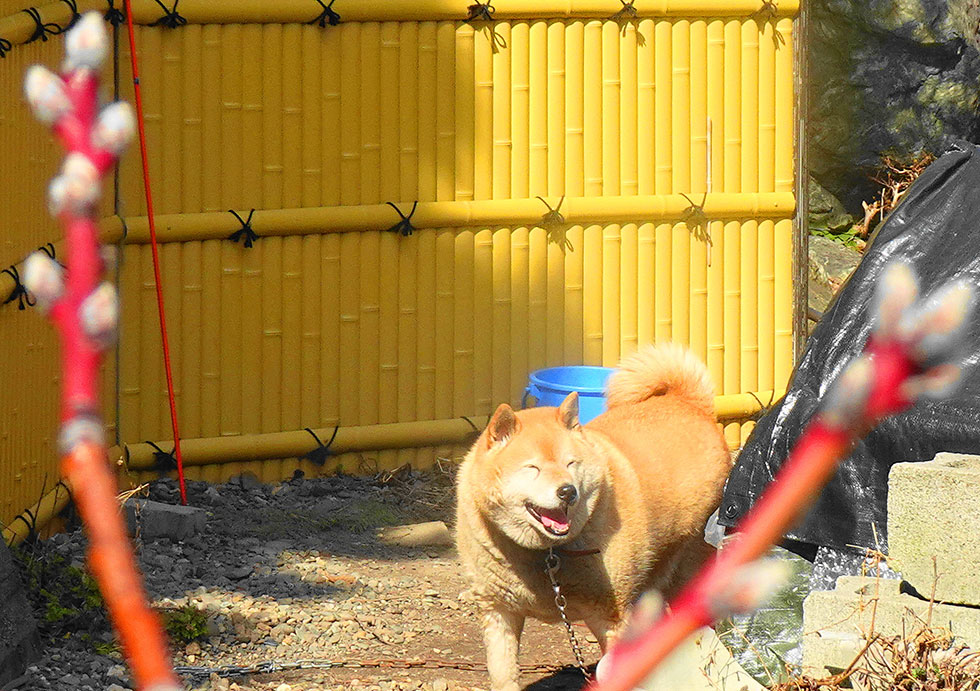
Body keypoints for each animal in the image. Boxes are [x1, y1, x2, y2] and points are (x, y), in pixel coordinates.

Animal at [455, 343, 732, 691]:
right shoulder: (499, 613)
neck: (545, 555)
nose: (567, 491)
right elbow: (503, 675)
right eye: (533, 468)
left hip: (688, 571)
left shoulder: (610, 617)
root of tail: (688, 403)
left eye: (570, 463)